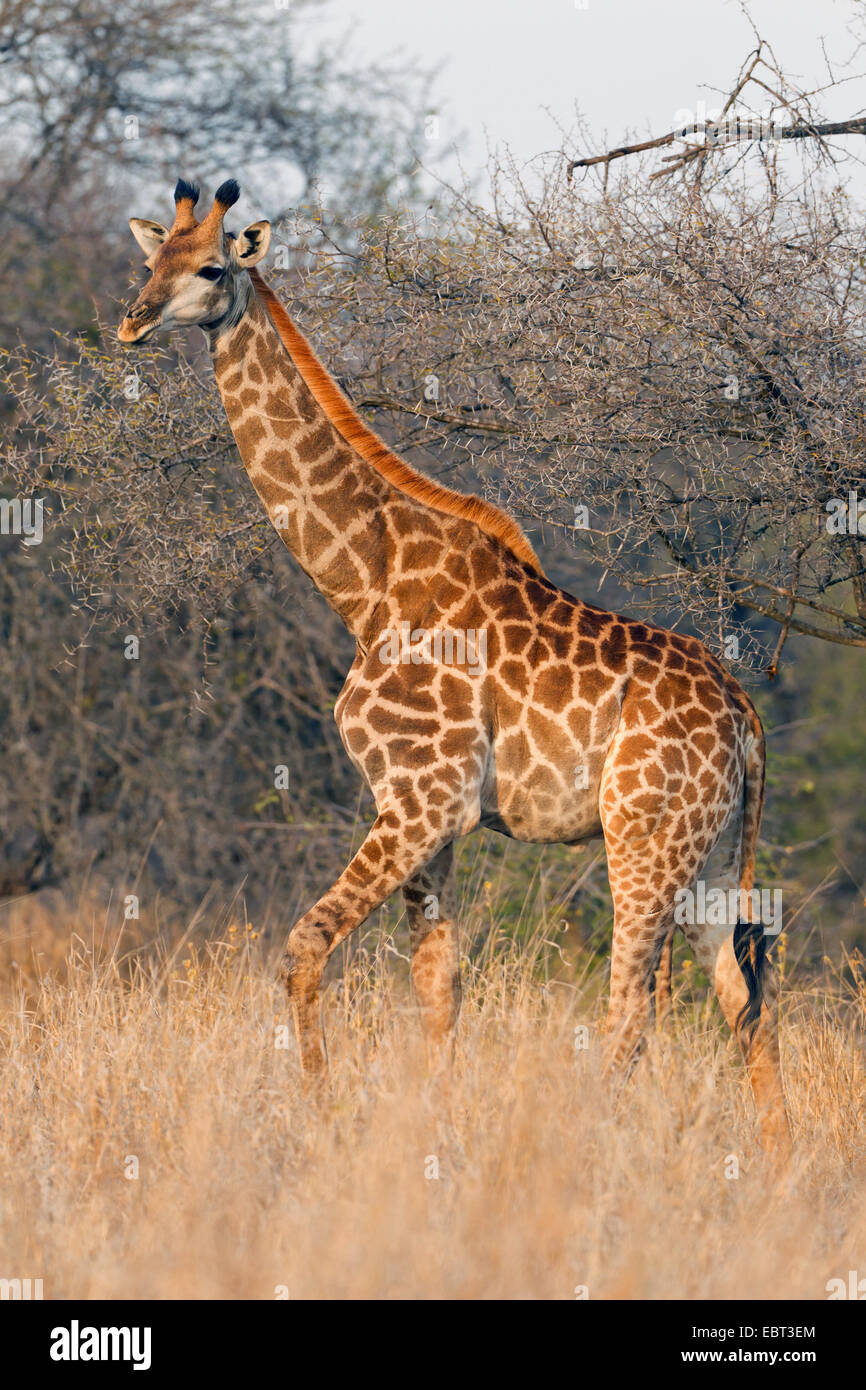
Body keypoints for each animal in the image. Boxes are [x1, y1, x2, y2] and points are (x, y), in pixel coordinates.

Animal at [120, 182, 795, 1150]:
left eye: (212, 268)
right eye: (151, 260)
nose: (132, 321)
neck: (365, 580)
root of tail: (745, 719)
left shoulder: (421, 798)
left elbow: (304, 946)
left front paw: (319, 1117)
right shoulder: (429, 815)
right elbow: (438, 988)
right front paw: (429, 1142)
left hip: (643, 837)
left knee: (634, 1005)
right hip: (707, 851)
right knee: (742, 995)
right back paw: (778, 1166)